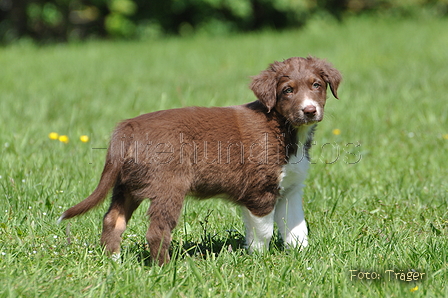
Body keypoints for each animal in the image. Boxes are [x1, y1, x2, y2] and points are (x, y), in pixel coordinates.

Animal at [57, 56, 342, 266]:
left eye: (316, 85)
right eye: (287, 90)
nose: (309, 110)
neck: (285, 128)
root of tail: (128, 127)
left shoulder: (291, 189)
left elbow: (296, 228)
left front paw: (302, 257)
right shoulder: (260, 191)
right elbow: (264, 231)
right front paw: (260, 259)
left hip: (127, 185)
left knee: (113, 220)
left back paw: (114, 262)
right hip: (168, 187)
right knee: (156, 231)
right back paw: (166, 268)